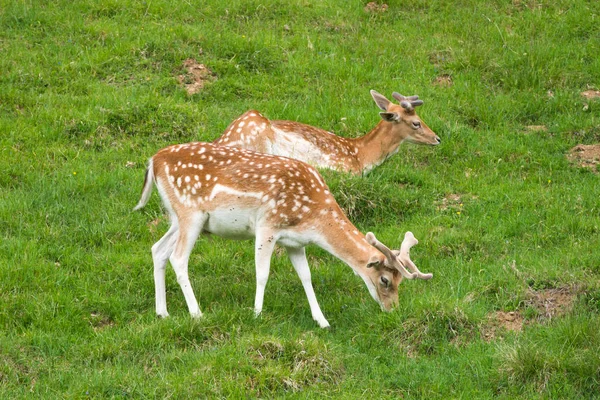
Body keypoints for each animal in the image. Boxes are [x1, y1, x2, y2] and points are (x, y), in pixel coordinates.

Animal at [134, 142, 432, 326]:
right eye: (385, 280)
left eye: (399, 281)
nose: (392, 309)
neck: (313, 217)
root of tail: (154, 160)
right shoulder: (267, 225)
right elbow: (262, 273)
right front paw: (256, 313)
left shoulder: (295, 243)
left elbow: (306, 276)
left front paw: (322, 321)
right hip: (190, 213)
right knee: (178, 258)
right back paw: (197, 314)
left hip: (177, 217)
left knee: (158, 249)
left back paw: (163, 312)